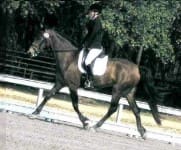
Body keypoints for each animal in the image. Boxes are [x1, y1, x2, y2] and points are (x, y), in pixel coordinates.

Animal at [27, 29, 161, 138]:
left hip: (117, 90)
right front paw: (34, 113)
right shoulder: (60, 83)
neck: (68, 58)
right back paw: (142, 132)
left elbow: (75, 104)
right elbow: (48, 96)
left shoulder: (72, 86)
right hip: (129, 92)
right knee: (136, 110)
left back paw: (95, 126)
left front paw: (85, 122)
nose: (30, 52)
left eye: (39, 38)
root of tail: (137, 68)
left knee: (113, 108)